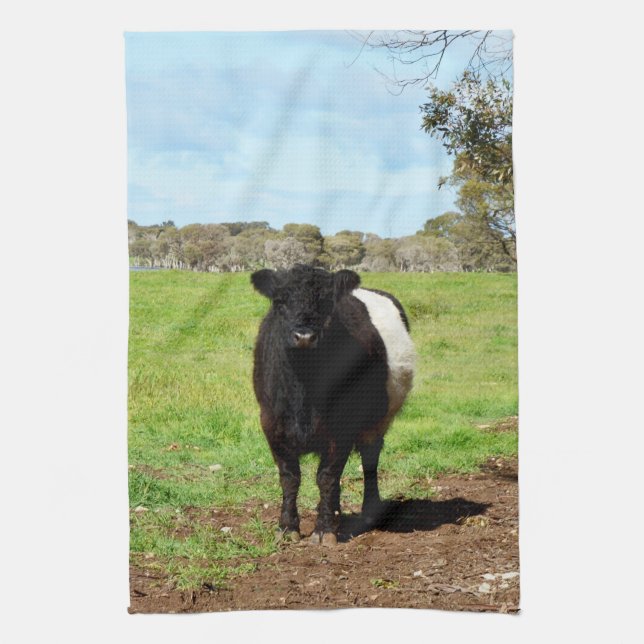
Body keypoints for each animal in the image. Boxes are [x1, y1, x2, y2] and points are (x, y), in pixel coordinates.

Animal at [251, 264, 415, 545]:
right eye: (280, 302)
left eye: (327, 303)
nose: (304, 336)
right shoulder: (272, 424)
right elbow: (289, 477)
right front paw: (287, 527)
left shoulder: (341, 427)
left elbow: (326, 477)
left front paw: (324, 530)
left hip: (379, 418)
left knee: (370, 459)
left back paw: (369, 512)